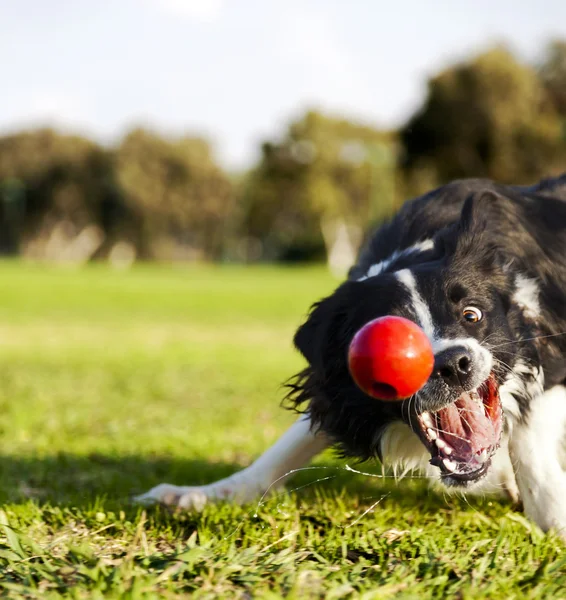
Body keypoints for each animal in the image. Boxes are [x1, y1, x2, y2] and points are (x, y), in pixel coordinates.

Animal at [138, 173, 566, 540]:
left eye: (471, 315)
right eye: (388, 345)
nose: (452, 364)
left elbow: (527, 436)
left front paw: (551, 514)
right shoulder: (333, 380)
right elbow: (294, 440)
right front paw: (202, 494)